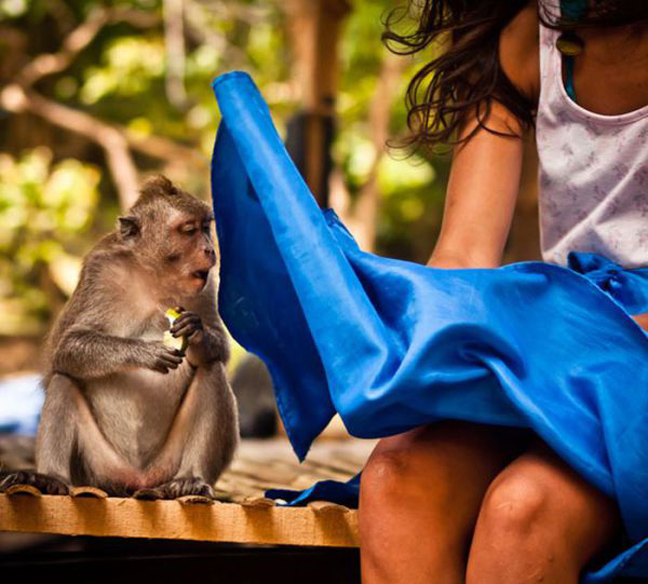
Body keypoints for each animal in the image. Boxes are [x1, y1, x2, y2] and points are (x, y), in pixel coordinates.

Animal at [0, 175, 238, 498]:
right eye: (189, 230)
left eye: (205, 228)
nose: (210, 250)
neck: (153, 277)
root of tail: (138, 480)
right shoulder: (100, 273)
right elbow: (67, 348)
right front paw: (143, 352)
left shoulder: (207, 284)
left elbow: (220, 350)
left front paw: (196, 331)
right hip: (97, 469)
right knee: (64, 380)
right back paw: (50, 478)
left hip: (166, 465)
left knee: (211, 371)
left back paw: (191, 478)